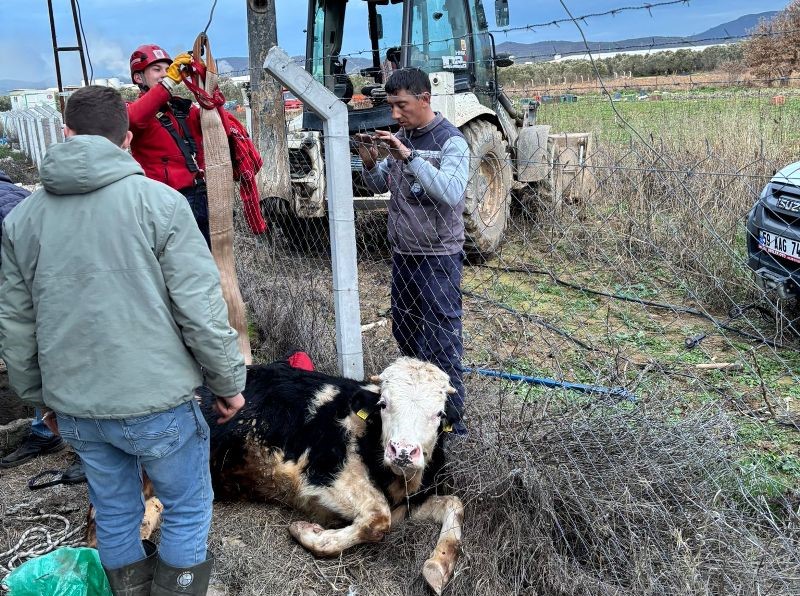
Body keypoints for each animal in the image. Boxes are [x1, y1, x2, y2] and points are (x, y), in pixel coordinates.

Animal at [87, 356, 462, 592]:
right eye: (384, 404)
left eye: (438, 413)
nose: (403, 451)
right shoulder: (318, 476)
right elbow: (377, 518)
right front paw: (309, 533)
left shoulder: (411, 501)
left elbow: (453, 504)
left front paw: (437, 568)